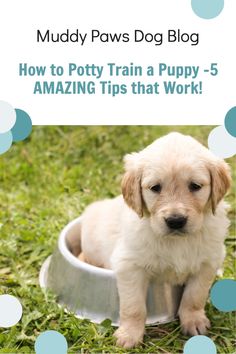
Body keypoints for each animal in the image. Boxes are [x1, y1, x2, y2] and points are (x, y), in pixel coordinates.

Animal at [79, 133, 230, 348]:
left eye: (195, 186)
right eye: (155, 188)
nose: (175, 220)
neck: (177, 241)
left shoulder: (207, 263)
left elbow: (194, 296)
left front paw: (194, 321)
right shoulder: (129, 266)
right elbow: (134, 306)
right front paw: (129, 335)